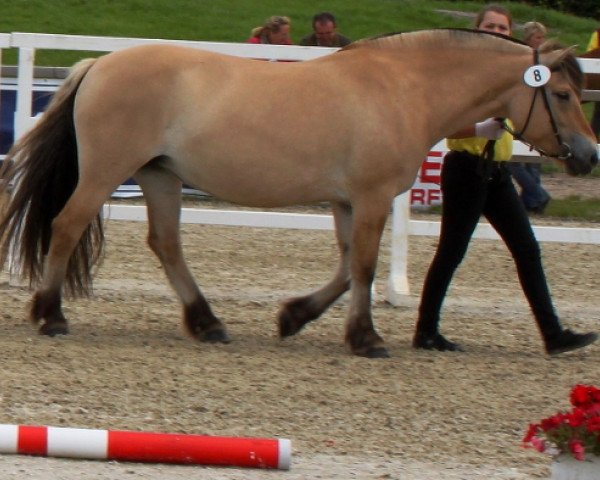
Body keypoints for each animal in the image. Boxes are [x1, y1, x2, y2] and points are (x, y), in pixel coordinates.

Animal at [0, 30, 596, 356]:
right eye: (564, 94)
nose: (589, 155)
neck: (402, 88)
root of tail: (98, 63)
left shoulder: (347, 201)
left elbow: (347, 266)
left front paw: (293, 316)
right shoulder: (371, 197)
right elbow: (363, 267)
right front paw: (366, 339)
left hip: (159, 176)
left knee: (166, 245)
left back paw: (208, 323)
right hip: (108, 171)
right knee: (66, 226)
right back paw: (51, 316)